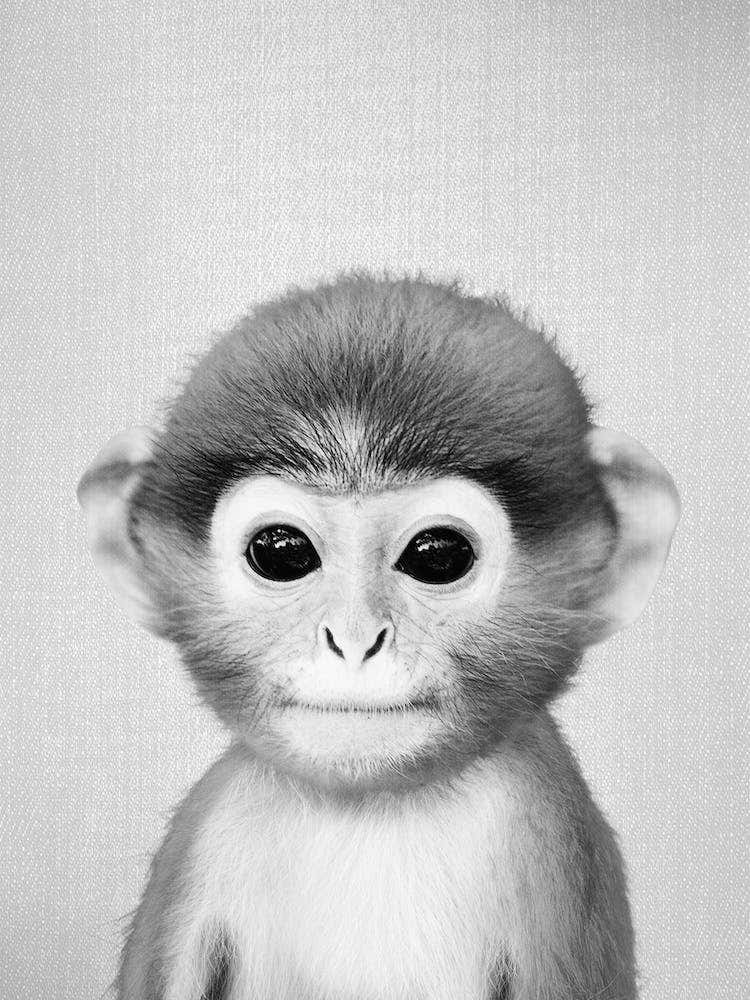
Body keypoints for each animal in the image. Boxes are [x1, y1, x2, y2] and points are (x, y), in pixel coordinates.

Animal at [78, 274, 680, 1000]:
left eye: (439, 555)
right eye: (281, 552)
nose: (354, 639)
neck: (372, 810)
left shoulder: (550, 846)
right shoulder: (202, 838)